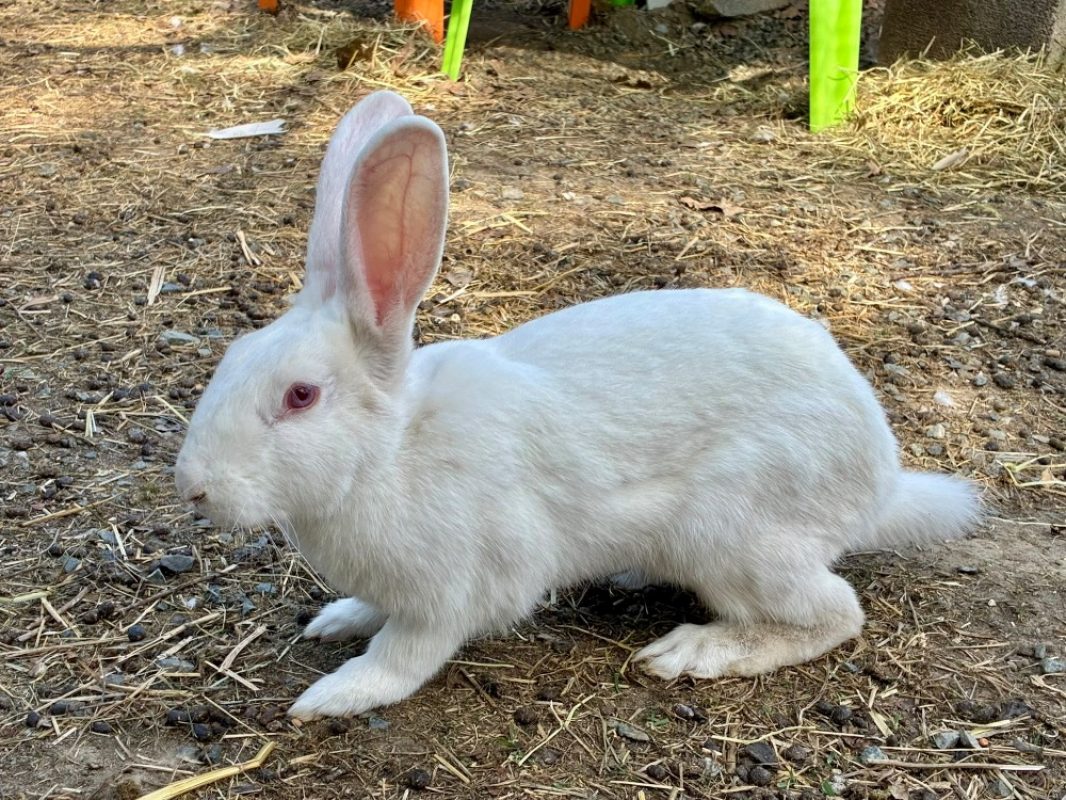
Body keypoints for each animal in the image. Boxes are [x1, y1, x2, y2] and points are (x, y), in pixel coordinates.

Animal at [174, 90, 982, 720]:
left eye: (301, 395)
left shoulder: (447, 595)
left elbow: (404, 656)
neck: (391, 453)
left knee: (835, 612)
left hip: (737, 538)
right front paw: (334, 619)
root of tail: (878, 483)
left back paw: (693, 651)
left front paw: (334, 696)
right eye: (233, 357)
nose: (193, 488)